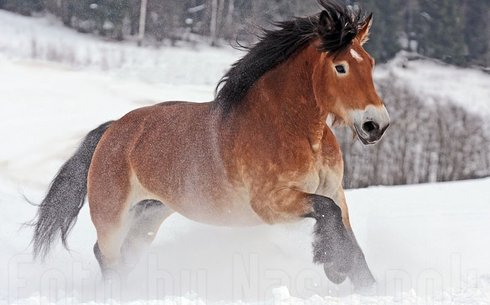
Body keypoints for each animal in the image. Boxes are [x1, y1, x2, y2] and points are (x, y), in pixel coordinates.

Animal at [30, 0, 390, 288]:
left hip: (148, 215)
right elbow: (328, 215)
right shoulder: (271, 203)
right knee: (107, 256)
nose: (376, 124)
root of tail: (111, 131)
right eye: (340, 67)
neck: (292, 132)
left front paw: (364, 284)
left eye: (370, 63)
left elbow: (349, 238)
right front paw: (333, 266)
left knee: (125, 255)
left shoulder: (334, 192)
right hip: (111, 218)